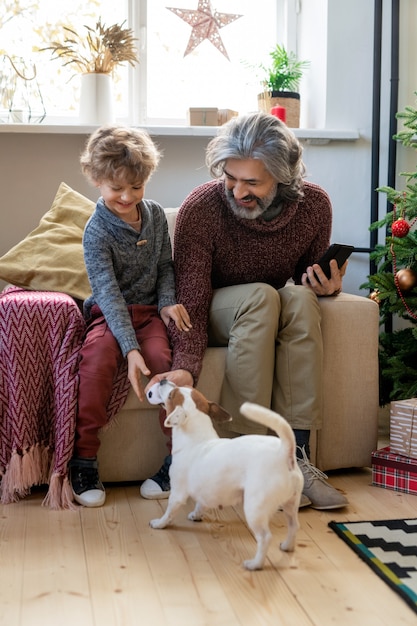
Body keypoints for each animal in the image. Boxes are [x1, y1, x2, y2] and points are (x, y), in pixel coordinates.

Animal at [146, 378, 302, 568]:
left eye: (171, 395)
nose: (163, 379)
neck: (197, 439)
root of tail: (284, 452)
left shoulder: (177, 494)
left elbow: (169, 512)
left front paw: (159, 523)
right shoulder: (204, 489)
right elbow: (200, 504)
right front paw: (196, 515)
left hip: (254, 508)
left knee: (265, 537)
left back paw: (255, 564)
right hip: (290, 504)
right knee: (293, 525)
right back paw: (287, 546)